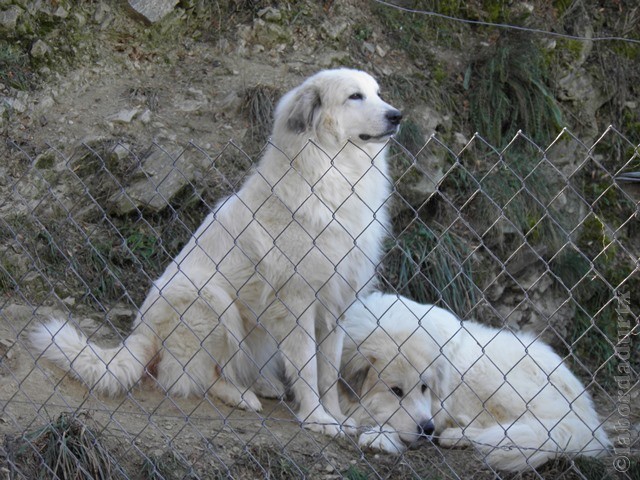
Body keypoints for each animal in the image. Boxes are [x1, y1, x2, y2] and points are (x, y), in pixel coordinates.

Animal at [31, 69, 400, 436]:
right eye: (355, 96)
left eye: (378, 93)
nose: (397, 116)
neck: (332, 171)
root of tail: (143, 333)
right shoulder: (297, 303)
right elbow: (308, 369)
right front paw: (316, 419)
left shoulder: (336, 305)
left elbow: (329, 373)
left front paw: (335, 416)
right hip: (212, 300)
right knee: (190, 376)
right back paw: (241, 395)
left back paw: (263, 385)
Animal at [340, 290, 608, 470]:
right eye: (396, 390)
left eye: (424, 387)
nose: (427, 430)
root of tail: (588, 418)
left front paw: (379, 436)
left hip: (486, 372)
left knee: (520, 427)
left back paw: (455, 435)